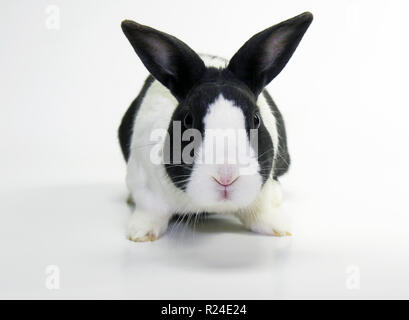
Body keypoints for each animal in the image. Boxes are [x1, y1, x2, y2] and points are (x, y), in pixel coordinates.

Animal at [118, 13, 312, 242]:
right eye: (188, 120)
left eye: (256, 119)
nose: (226, 177)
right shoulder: (144, 183)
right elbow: (149, 209)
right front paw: (140, 233)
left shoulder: (260, 194)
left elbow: (260, 210)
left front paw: (278, 228)